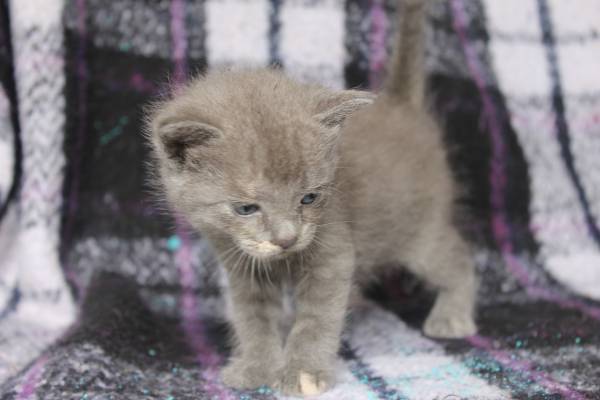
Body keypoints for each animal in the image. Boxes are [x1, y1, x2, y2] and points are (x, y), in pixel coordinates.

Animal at [145, 0, 474, 396]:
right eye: (246, 208)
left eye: (309, 198)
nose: (287, 238)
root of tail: (401, 107)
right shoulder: (240, 263)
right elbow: (252, 317)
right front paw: (256, 366)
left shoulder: (332, 253)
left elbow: (316, 318)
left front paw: (303, 372)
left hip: (420, 233)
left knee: (457, 258)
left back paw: (452, 314)